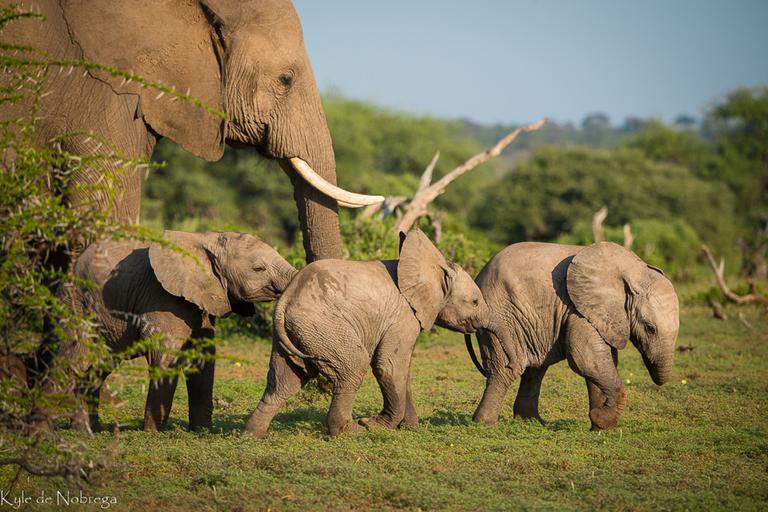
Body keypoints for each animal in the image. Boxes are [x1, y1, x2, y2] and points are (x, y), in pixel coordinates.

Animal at [59, 230, 297, 432]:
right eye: (259, 269)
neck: (205, 239)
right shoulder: (161, 296)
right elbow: (165, 353)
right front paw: (153, 433)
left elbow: (203, 355)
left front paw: (202, 431)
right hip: (77, 305)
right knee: (76, 361)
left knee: (97, 365)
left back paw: (90, 430)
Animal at [244, 229, 492, 437]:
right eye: (475, 301)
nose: (479, 325)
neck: (431, 267)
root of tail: (285, 299)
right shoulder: (403, 317)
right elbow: (390, 366)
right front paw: (374, 425)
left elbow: (402, 370)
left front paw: (410, 428)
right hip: (322, 325)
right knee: (353, 365)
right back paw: (351, 431)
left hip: (294, 332)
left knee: (284, 381)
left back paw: (253, 436)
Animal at [465, 241, 679, 430]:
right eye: (650, 328)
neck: (635, 271)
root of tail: (478, 276)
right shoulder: (580, 308)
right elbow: (585, 358)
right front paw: (601, 421)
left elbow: (603, 360)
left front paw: (600, 428)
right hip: (501, 317)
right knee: (505, 371)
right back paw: (485, 424)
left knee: (535, 370)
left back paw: (531, 422)